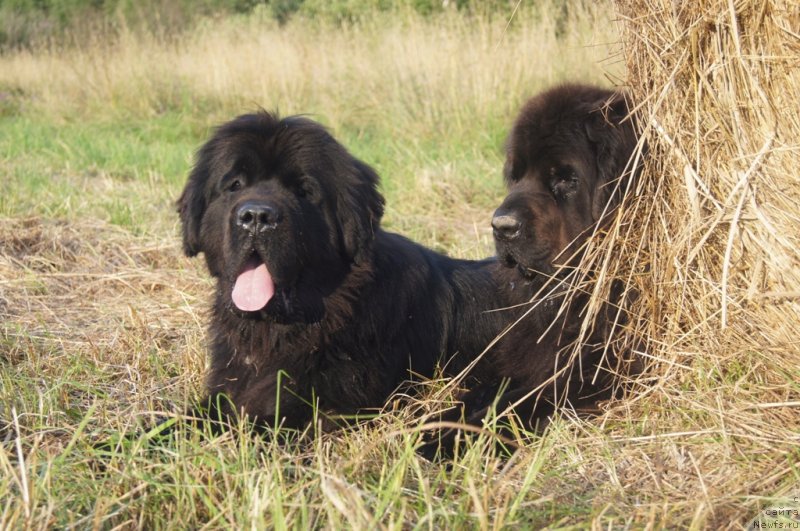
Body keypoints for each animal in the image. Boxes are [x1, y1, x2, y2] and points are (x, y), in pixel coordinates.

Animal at [422, 84, 648, 458]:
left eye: (566, 179)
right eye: (516, 176)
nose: (501, 226)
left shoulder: (592, 372)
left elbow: (515, 404)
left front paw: (448, 440)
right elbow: (490, 388)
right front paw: (432, 422)